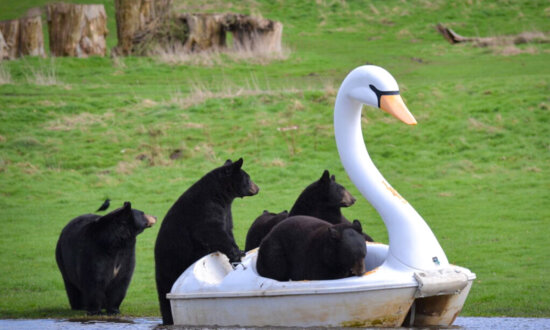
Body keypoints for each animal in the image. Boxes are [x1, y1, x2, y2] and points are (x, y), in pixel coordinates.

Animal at [154, 159, 260, 326]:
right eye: (248, 178)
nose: (257, 188)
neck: (220, 195)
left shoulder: (226, 212)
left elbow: (228, 229)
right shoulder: (205, 210)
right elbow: (212, 232)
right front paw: (236, 253)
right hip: (170, 265)